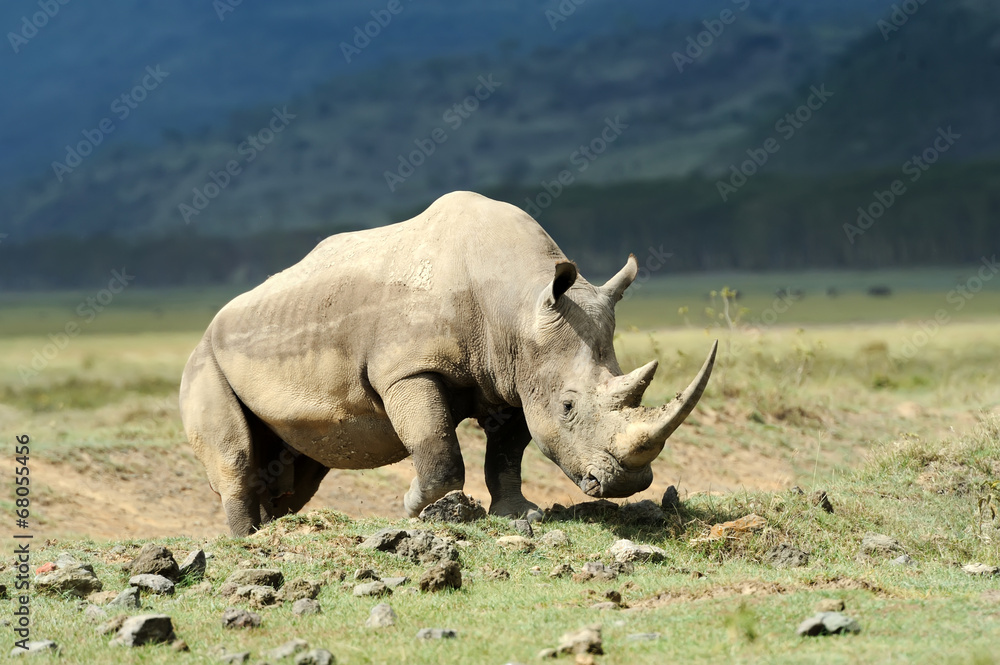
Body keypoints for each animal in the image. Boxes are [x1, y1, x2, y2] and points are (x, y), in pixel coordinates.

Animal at [180, 191, 716, 535]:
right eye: (567, 408)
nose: (627, 484)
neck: (519, 303)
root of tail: (212, 323)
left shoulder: (515, 378)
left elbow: (507, 453)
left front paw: (520, 515)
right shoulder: (409, 370)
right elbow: (437, 446)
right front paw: (420, 507)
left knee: (299, 467)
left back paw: (274, 527)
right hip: (204, 359)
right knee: (238, 454)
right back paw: (247, 541)